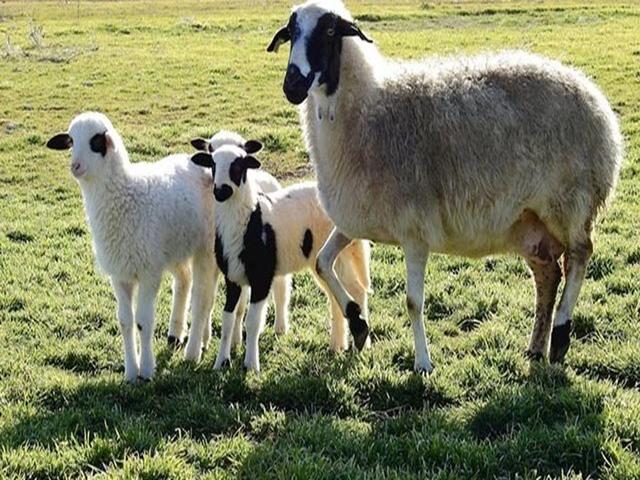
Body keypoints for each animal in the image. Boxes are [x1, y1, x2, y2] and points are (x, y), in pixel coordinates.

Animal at [189, 144, 371, 372]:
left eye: (239, 165)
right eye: (212, 165)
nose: (221, 191)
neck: (248, 218)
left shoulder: (262, 278)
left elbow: (252, 321)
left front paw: (251, 365)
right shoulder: (232, 278)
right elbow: (227, 319)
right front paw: (221, 362)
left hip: (340, 254)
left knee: (356, 289)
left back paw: (361, 341)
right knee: (336, 295)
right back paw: (338, 345)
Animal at [267, 0, 623, 372]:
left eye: (329, 30)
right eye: (291, 32)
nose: (292, 85)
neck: (366, 112)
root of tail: (594, 97)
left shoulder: (415, 230)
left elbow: (413, 301)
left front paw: (423, 363)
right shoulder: (357, 220)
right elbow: (322, 264)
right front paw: (359, 325)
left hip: (570, 202)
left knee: (580, 255)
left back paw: (562, 334)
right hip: (530, 223)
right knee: (548, 274)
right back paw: (537, 348)